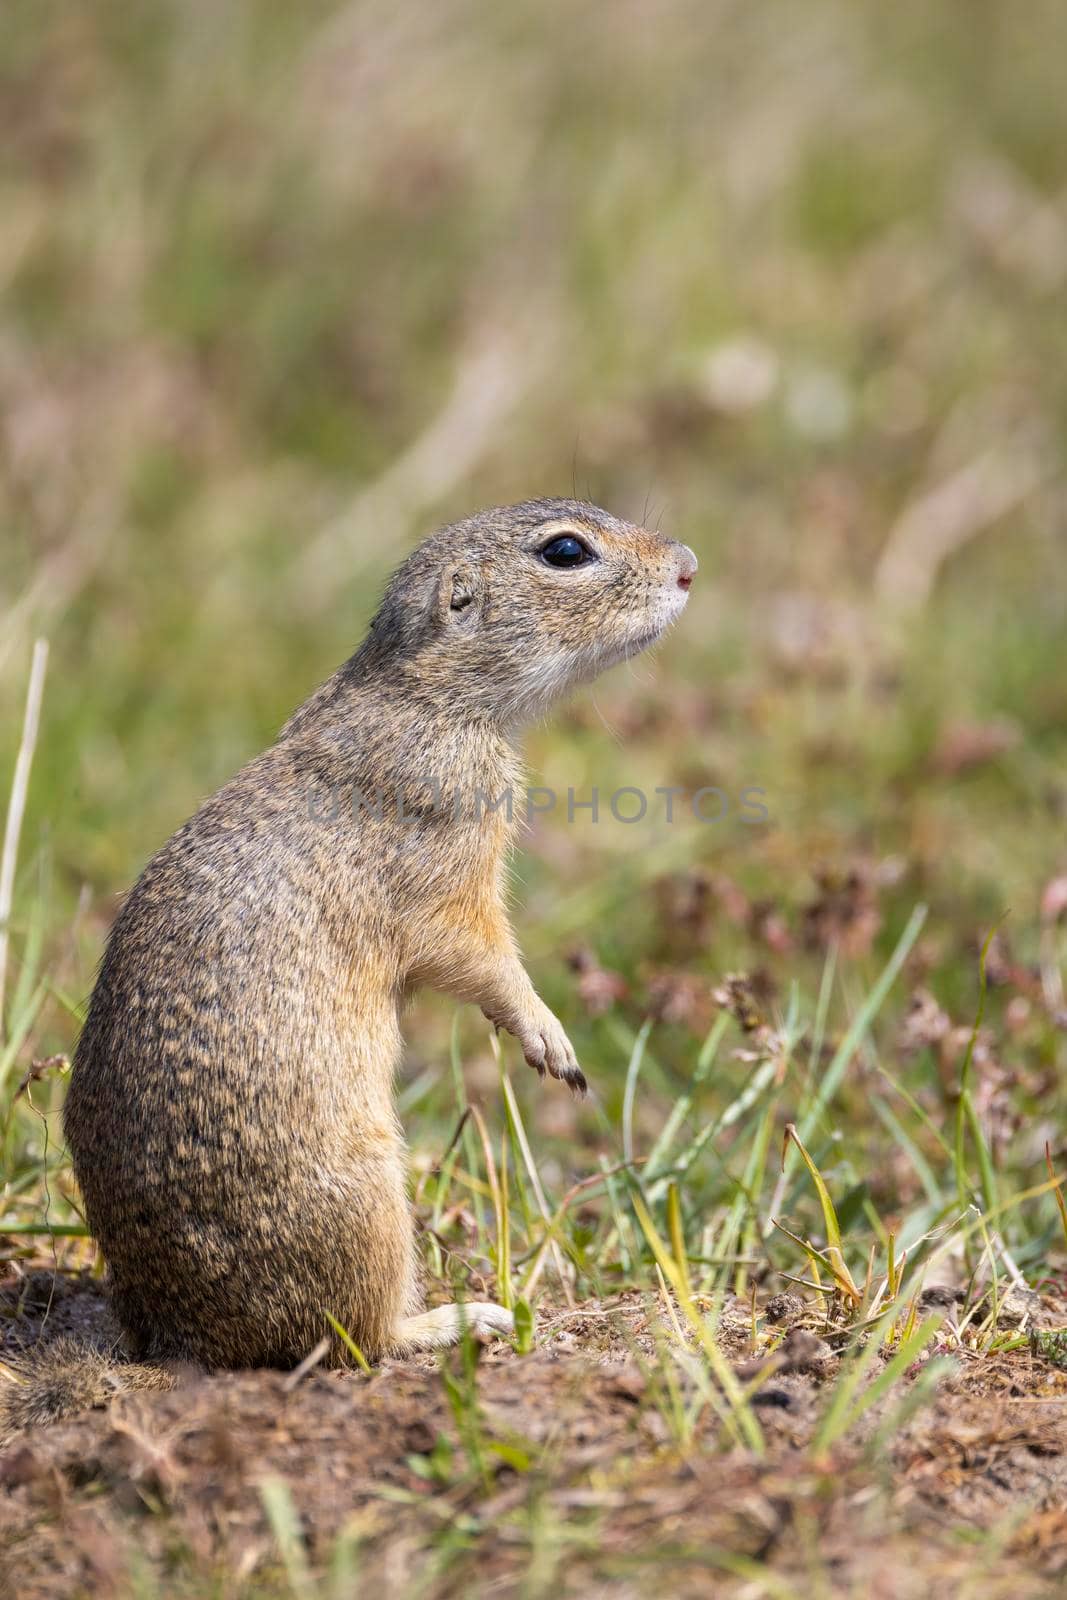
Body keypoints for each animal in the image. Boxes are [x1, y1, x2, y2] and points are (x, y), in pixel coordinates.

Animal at [2, 492, 700, 1433]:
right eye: (565, 552)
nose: (689, 565)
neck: (427, 697)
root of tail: (178, 1344)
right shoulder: (447, 868)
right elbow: (478, 957)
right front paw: (549, 1039)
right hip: (370, 1211)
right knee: (352, 1339)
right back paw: (455, 1319)